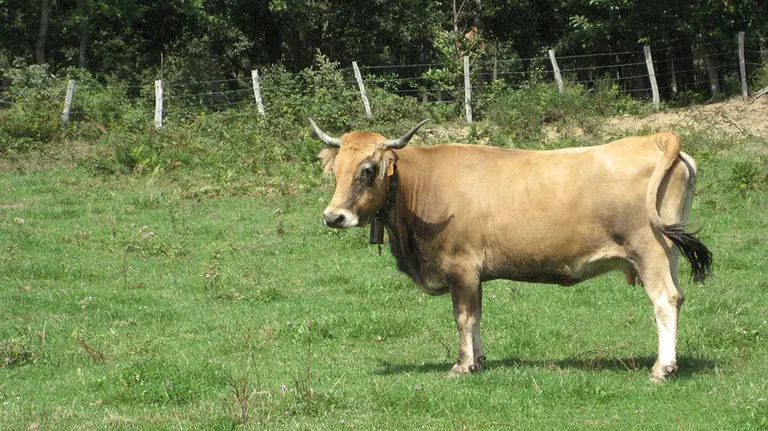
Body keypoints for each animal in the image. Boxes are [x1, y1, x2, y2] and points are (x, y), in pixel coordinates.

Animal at [310, 118, 712, 383]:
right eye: (337, 169)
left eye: (368, 169)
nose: (334, 216)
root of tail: (656, 138)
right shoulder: (472, 274)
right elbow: (476, 316)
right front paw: (479, 359)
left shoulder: (460, 267)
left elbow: (463, 316)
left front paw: (462, 366)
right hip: (669, 253)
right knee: (677, 297)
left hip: (650, 252)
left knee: (665, 301)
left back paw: (662, 368)